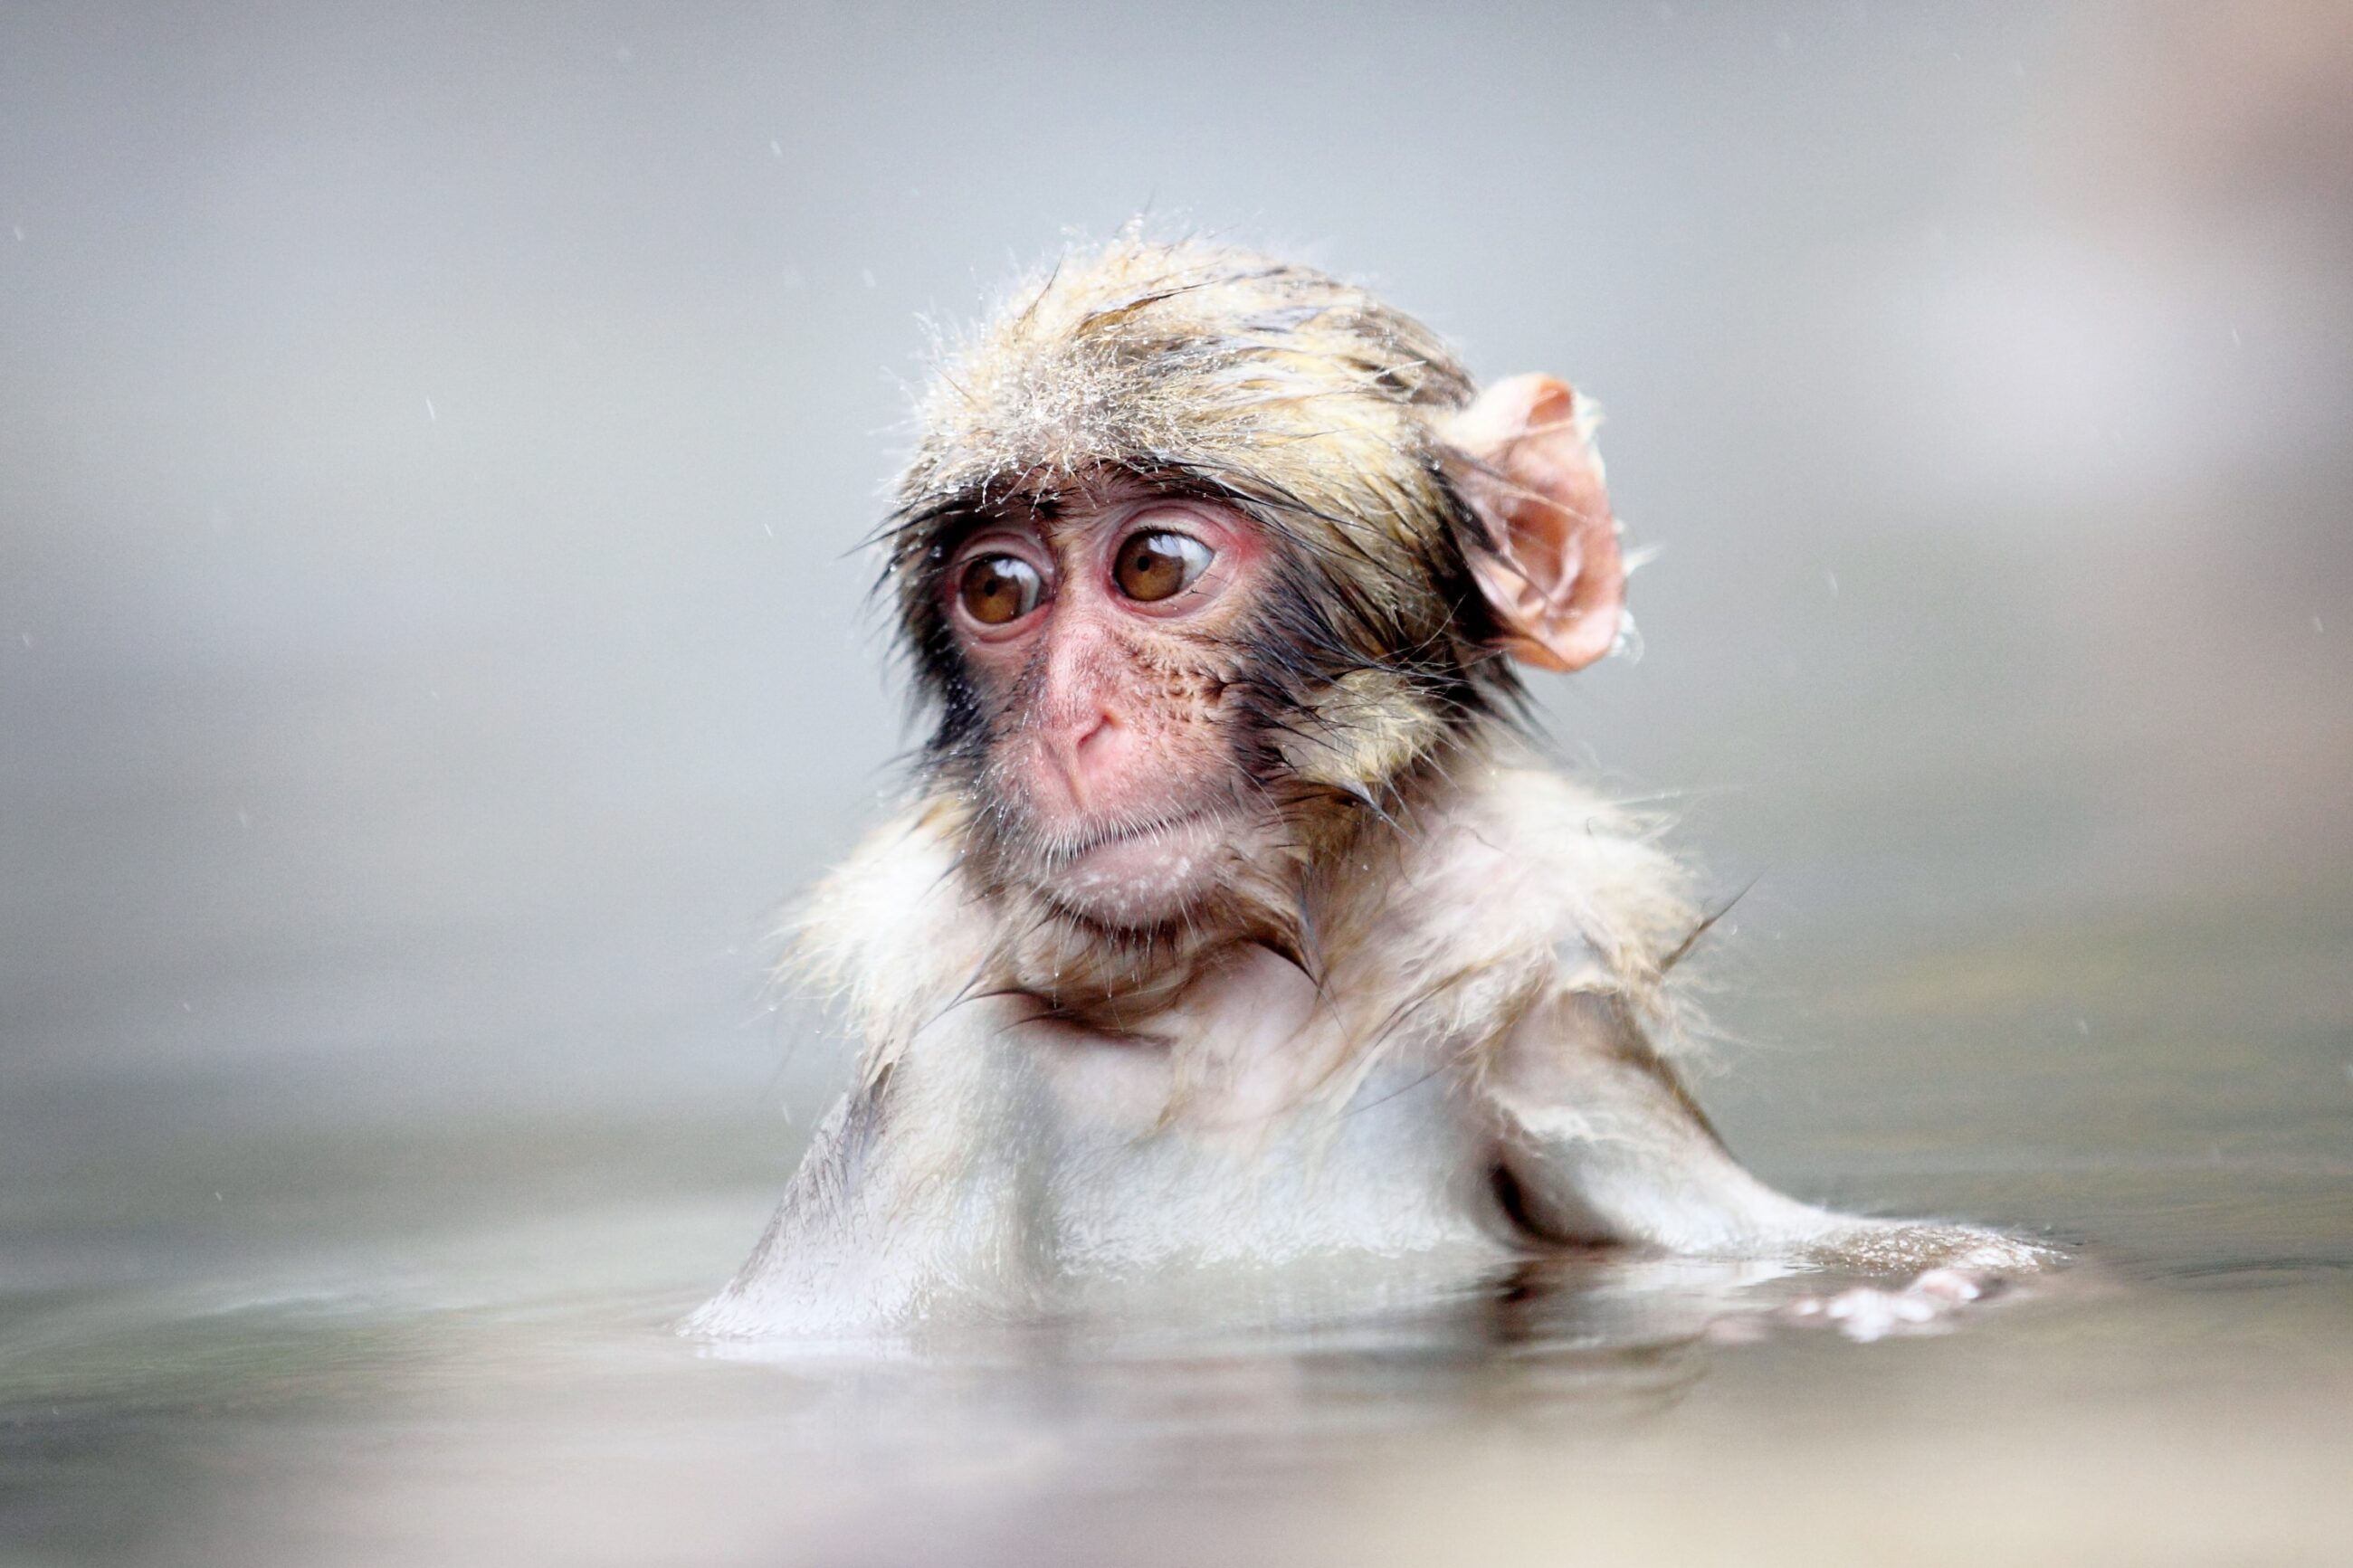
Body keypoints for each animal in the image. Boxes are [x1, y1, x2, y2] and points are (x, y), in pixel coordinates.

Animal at [687, 240, 2052, 1345]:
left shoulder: (1560, 1053)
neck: (1243, 1039)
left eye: (1153, 563)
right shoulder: (940, 1094)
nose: (1072, 724)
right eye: (999, 588)